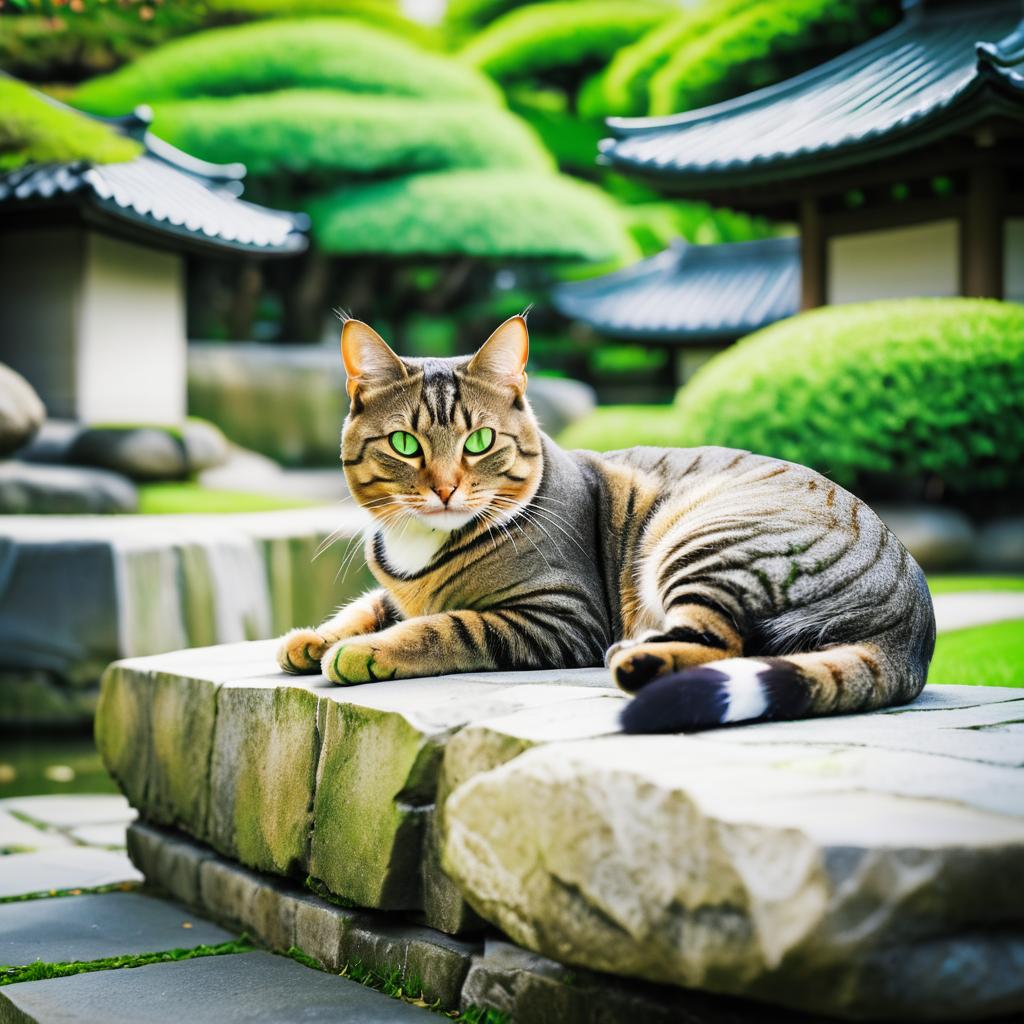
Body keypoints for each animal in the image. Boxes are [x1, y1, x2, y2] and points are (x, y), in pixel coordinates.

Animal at [278, 315, 937, 733]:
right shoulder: (396, 590)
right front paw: (314, 637)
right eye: (405, 444)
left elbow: (446, 626)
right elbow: (371, 603)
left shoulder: (559, 617)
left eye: (480, 441)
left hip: (705, 540)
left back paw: (635, 657)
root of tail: (911, 631)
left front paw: (361, 651)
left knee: (722, 641)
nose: (444, 489)